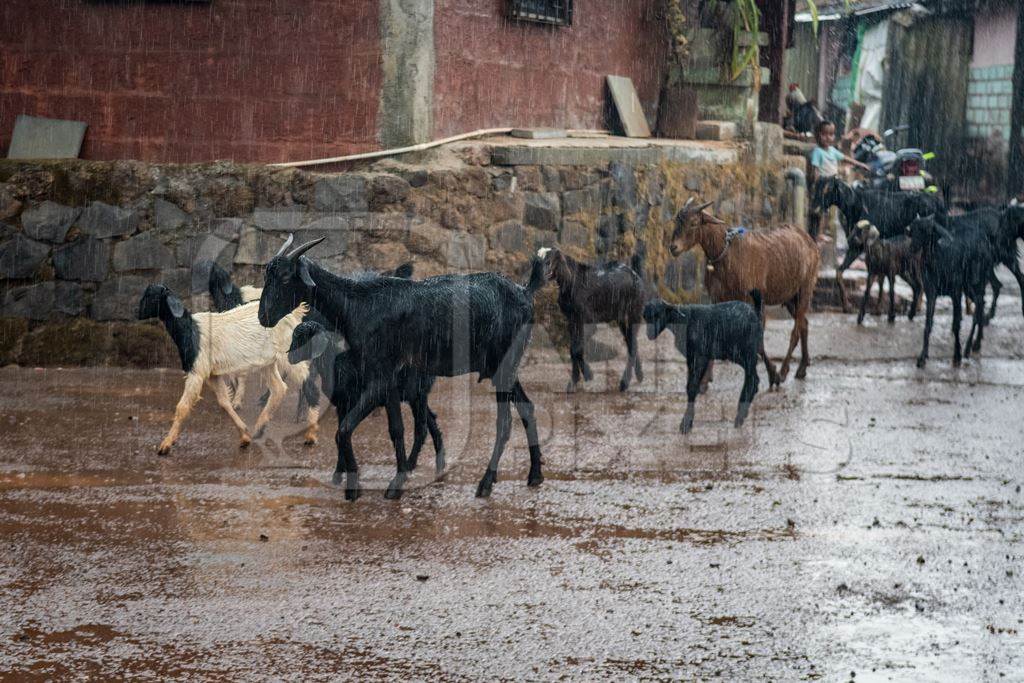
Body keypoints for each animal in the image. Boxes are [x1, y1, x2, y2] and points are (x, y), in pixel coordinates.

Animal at [290, 317, 446, 499]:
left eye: (302, 338)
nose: (290, 357)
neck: (336, 363)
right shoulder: (343, 404)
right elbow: (338, 435)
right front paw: (338, 474)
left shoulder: (368, 398)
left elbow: (346, 431)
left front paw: (352, 486)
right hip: (411, 395)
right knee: (431, 419)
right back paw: (438, 465)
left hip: (417, 391)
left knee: (420, 428)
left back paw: (410, 469)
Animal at [540, 246, 643, 393]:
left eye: (549, 261)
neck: (572, 281)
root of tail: (635, 276)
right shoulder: (572, 320)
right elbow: (573, 349)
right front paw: (573, 382)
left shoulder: (586, 319)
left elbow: (577, 349)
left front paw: (588, 375)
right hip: (621, 318)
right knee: (631, 342)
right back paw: (639, 376)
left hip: (634, 313)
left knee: (633, 345)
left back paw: (624, 383)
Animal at [643, 290, 765, 432]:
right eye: (646, 317)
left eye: (659, 314)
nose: (650, 334)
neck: (684, 320)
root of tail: (755, 312)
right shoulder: (691, 358)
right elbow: (691, 385)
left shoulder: (700, 357)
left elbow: (692, 387)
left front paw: (686, 424)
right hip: (739, 355)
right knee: (754, 379)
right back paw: (742, 414)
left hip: (747, 352)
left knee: (752, 379)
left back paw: (740, 416)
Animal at [667, 200, 819, 387]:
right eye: (676, 220)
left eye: (694, 223)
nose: (673, 247)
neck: (728, 255)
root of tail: (809, 240)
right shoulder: (717, 297)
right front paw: (704, 379)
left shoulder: (753, 298)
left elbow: (757, 340)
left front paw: (773, 374)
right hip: (790, 295)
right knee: (804, 323)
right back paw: (802, 368)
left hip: (807, 285)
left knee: (796, 330)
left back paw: (784, 371)